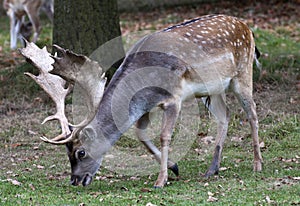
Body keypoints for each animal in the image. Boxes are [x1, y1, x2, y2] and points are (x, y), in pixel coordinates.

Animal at [19, 14, 262, 188]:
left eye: (80, 152)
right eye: (67, 154)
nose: (75, 180)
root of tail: (247, 27)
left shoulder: (174, 98)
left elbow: (164, 136)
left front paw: (160, 181)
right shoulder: (148, 106)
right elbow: (140, 133)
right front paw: (174, 167)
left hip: (243, 73)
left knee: (252, 113)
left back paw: (257, 164)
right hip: (212, 90)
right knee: (225, 115)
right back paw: (213, 169)